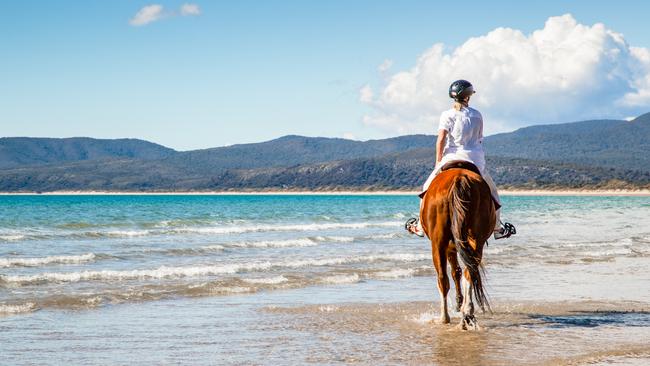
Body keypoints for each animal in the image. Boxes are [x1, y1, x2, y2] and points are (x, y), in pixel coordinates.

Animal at [418, 163, 494, 328]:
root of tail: (459, 178)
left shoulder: (448, 248)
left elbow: (454, 272)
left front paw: (459, 303)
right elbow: (458, 271)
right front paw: (461, 304)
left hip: (438, 243)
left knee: (443, 278)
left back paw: (444, 317)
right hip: (475, 240)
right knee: (470, 270)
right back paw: (468, 312)